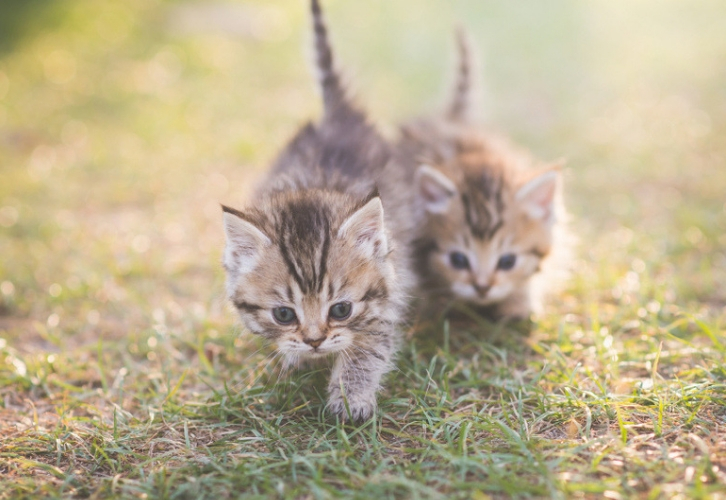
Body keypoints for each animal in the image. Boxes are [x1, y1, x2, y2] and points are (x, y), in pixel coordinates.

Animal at [220, 0, 416, 422]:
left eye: (341, 309)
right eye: (283, 315)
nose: (314, 341)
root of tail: (336, 116)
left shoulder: (391, 289)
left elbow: (368, 346)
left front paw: (351, 395)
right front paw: (295, 357)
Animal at [396, 31, 572, 320]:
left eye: (507, 261)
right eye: (458, 260)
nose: (482, 287)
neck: (473, 152)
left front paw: (518, 303)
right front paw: (436, 304)